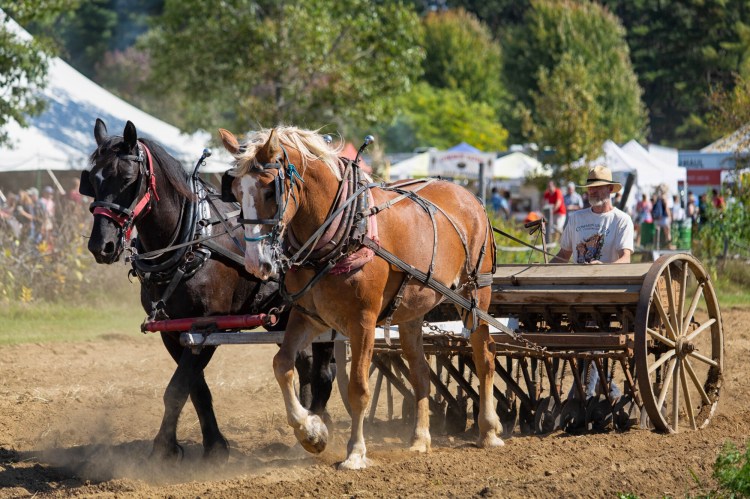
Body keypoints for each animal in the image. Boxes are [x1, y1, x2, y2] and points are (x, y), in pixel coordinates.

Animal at [80, 119, 334, 462]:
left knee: (323, 372)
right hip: (287, 317)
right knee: (305, 363)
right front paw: (212, 445)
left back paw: (316, 427)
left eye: (128, 179)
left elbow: (177, 389)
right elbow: (195, 389)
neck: (189, 242)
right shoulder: (175, 331)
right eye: (92, 180)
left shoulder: (207, 326)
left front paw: (163, 449)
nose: (101, 245)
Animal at [222, 126, 506, 468]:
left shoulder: (363, 321)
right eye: (235, 192)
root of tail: (468, 195)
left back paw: (489, 431)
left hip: (475, 294)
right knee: (420, 372)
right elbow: (282, 364)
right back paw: (419, 440)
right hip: (412, 310)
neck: (344, 232)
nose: (255, 263)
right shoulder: (309, 316)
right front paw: (311, 432)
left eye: (268, 191)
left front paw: (355, 453)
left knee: (484, 356)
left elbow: (358, 387)